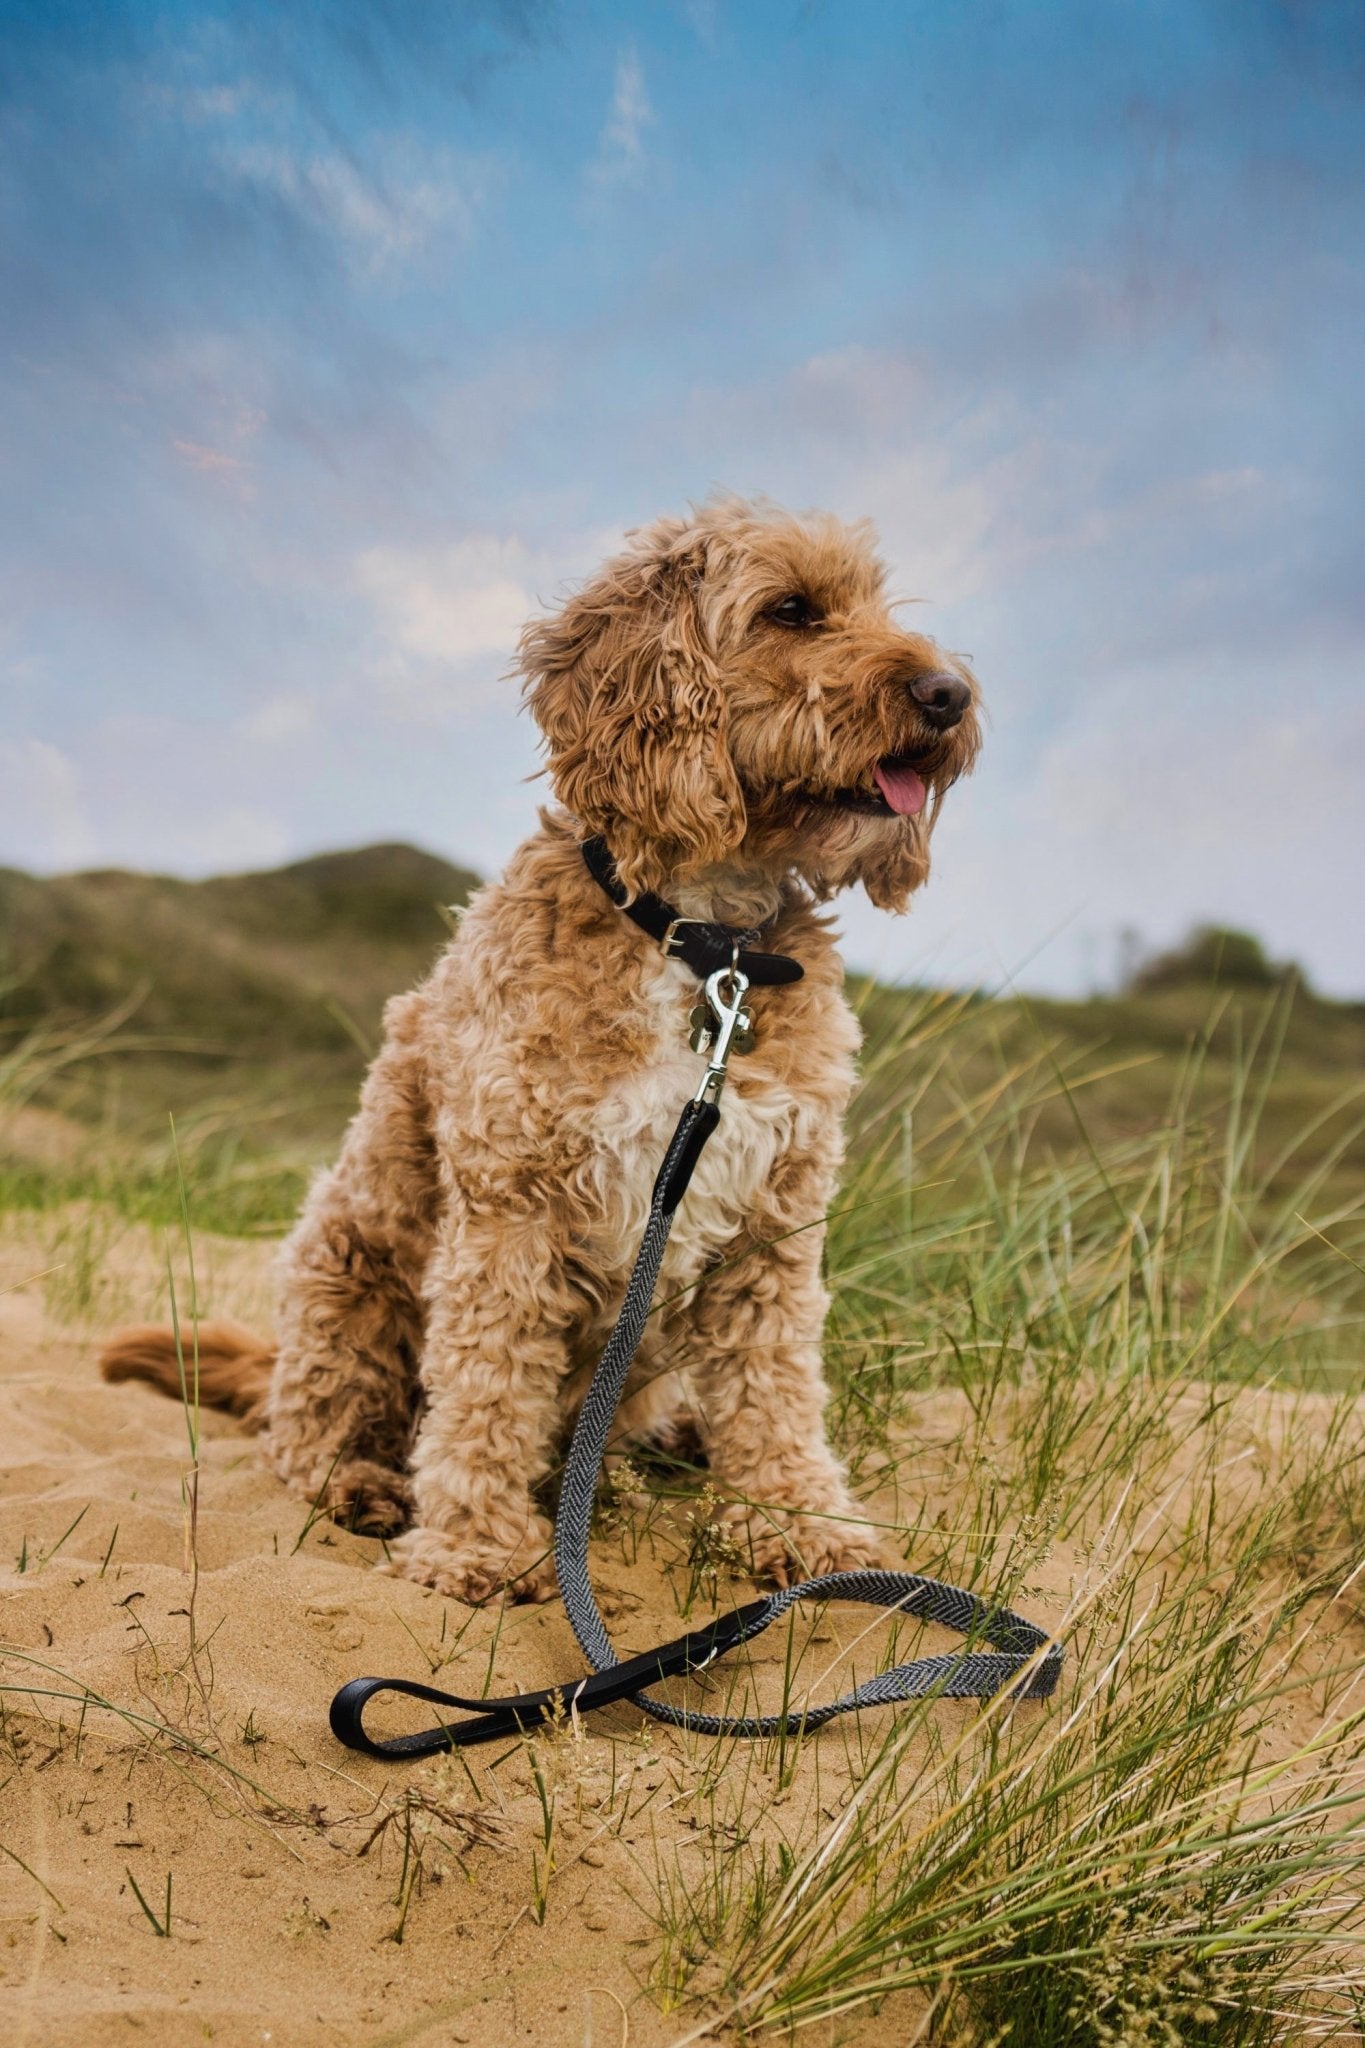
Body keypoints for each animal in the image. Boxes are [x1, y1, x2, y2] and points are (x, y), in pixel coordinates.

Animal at [106, 495, 982, 1597]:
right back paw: (362, 1482)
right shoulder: (510, 1206)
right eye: (789, 609)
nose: (951, 694)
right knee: (305, 1431)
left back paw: (647, 1464)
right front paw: (477, 1546)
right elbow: (486, 1386)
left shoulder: (771, 1228)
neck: (699, 943)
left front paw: (804, 1524)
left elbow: (774, 1385)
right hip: (345, 1275)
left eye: (877, 604)